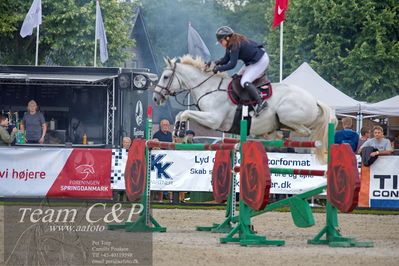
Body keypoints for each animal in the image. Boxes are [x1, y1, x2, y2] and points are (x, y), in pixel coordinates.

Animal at [153, 55, 338, 163]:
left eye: (166, 77)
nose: (155, 98)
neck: (209, 88)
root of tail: (315, 100)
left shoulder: (213, 119)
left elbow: (185, 112)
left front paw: (180, 132)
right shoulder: (207, 120)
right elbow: (180, 113)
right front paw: (178, 131)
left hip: (288, 115)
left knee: (305, 132)